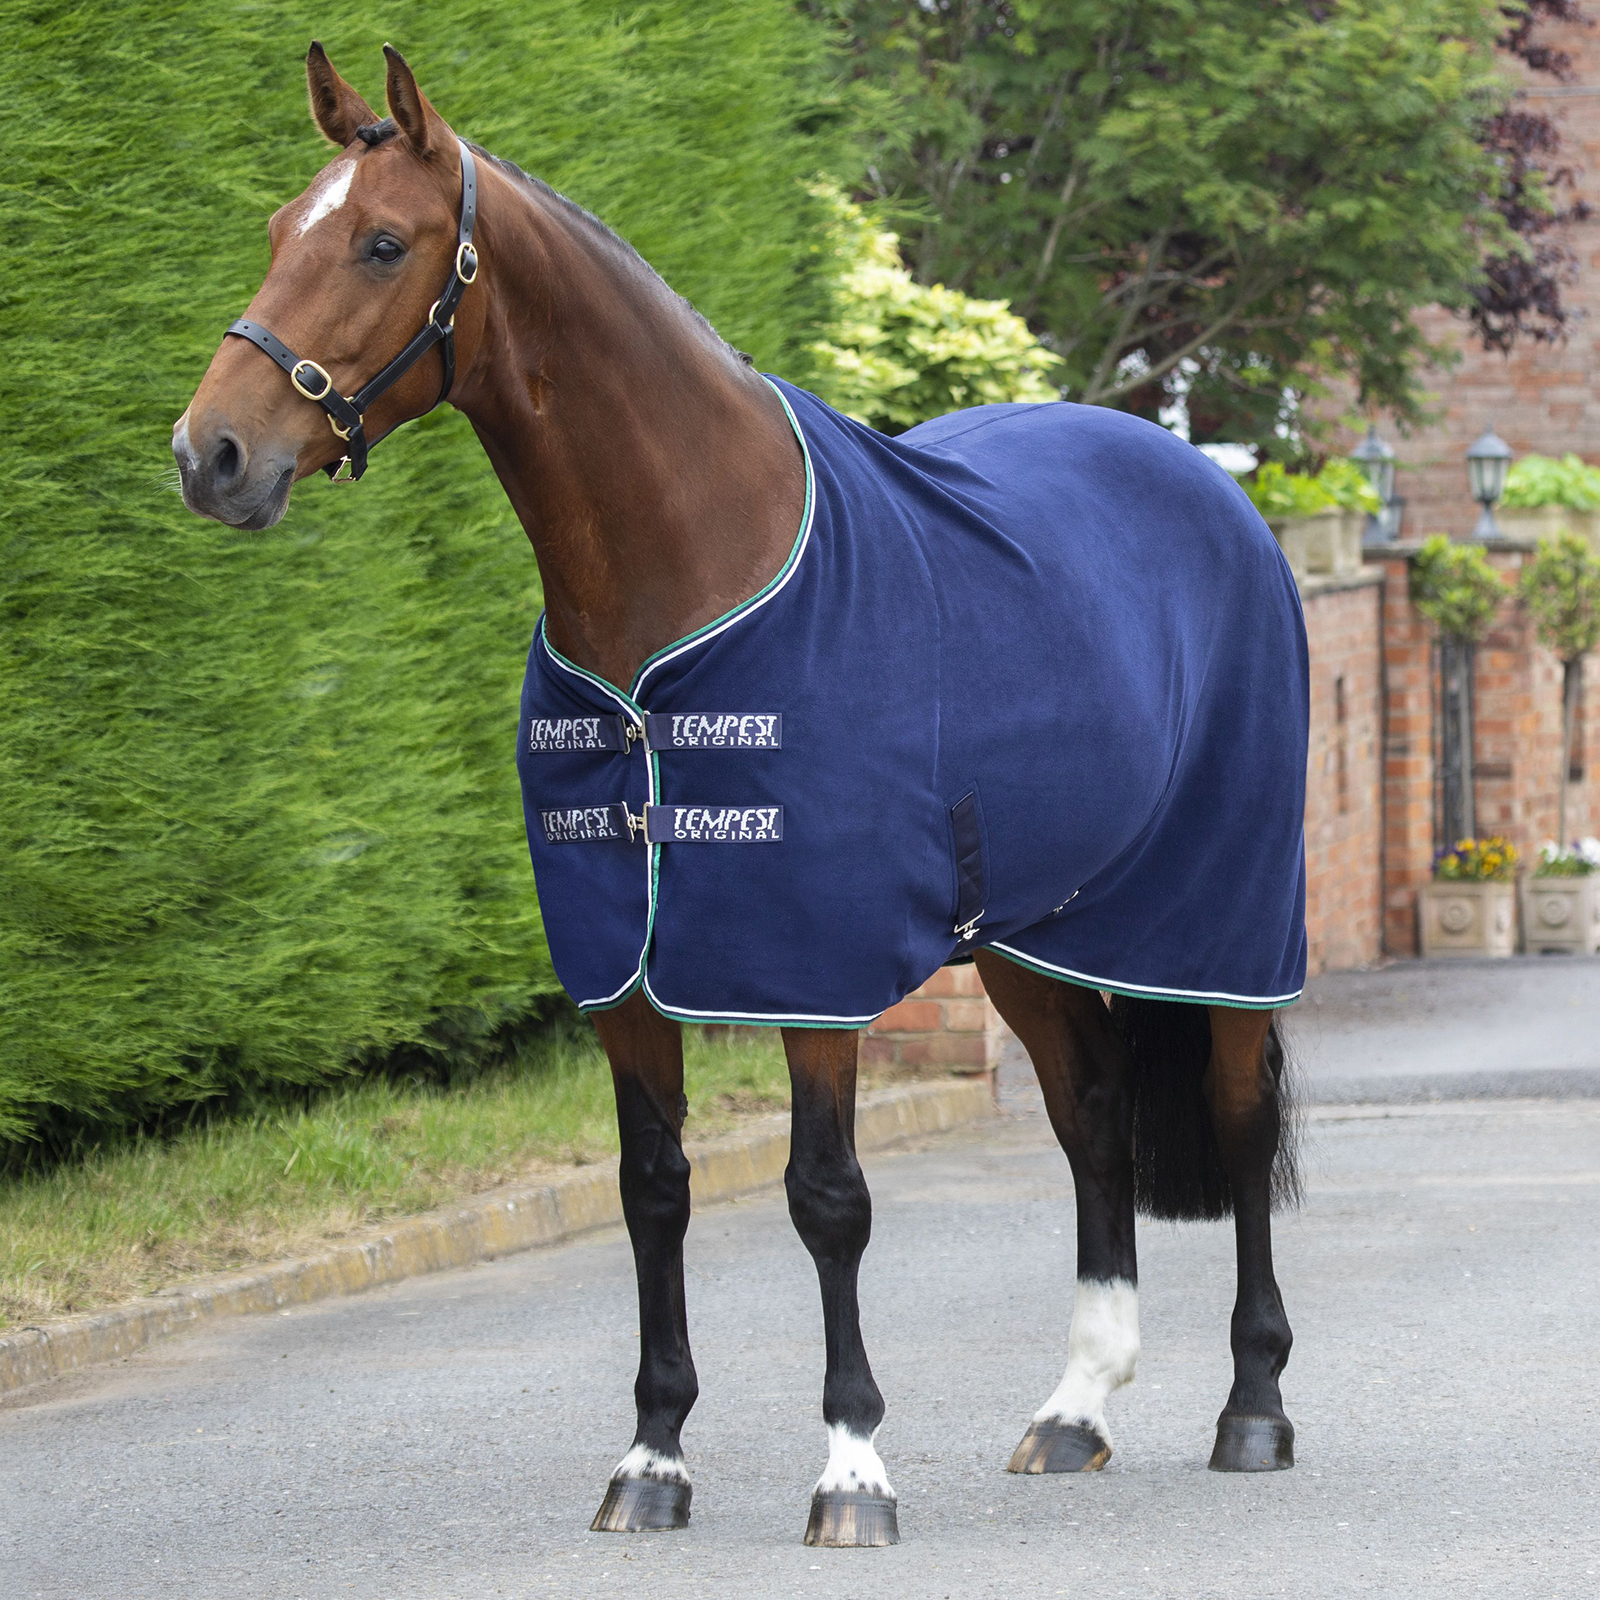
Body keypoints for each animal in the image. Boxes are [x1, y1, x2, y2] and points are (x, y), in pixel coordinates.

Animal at [175, 44, 1307, 1549]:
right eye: (274, 230)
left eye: (380, 242)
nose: (211, 454)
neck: (686, 578)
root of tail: (1211, 488)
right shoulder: (624, 967)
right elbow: (652, 1193)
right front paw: (652, 1458)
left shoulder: (802, 959)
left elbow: (825, 1199)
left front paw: (852, 1472)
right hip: (1034, 934)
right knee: (1094, 1122)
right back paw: (1075, 1410)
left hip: (1222, 921)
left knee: (1237, 1124)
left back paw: (1254, 1408)